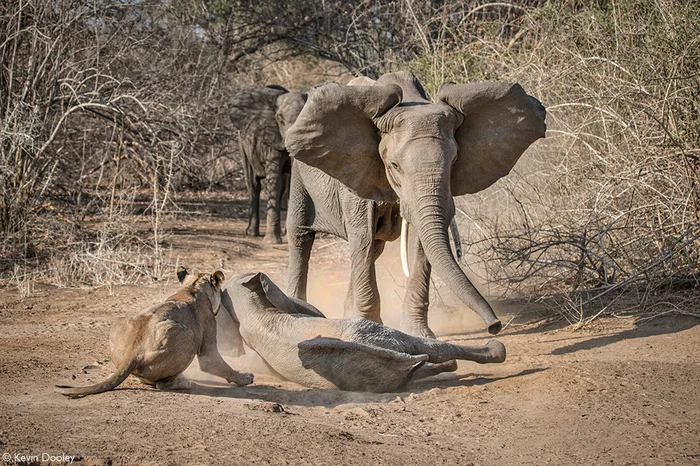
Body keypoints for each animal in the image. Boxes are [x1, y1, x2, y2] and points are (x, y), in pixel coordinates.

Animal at [55, 268, 252, 396]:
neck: (191, 288)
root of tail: (133, 353)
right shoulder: (208, 338)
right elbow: (217, 364)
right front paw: (245, 378)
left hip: (120, 321)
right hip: (188, 336)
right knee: (162, 385)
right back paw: (184, 382)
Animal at [230, 85, 306, 244]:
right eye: (280, 118)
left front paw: (289, 236)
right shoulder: (271, 140)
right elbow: (275, 183)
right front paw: (273, 241)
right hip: (242, 146)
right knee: (253, 184)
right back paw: (251, 233)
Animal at [284, 71, 548, 336]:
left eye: (454, 161)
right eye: (394, 166)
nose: (494, 326)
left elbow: (419, 244)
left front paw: (418, 333)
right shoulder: (355, 177)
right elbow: (362, 236)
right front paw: (370, 329)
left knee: (374, 248)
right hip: (298, 175)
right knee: (301, 236)